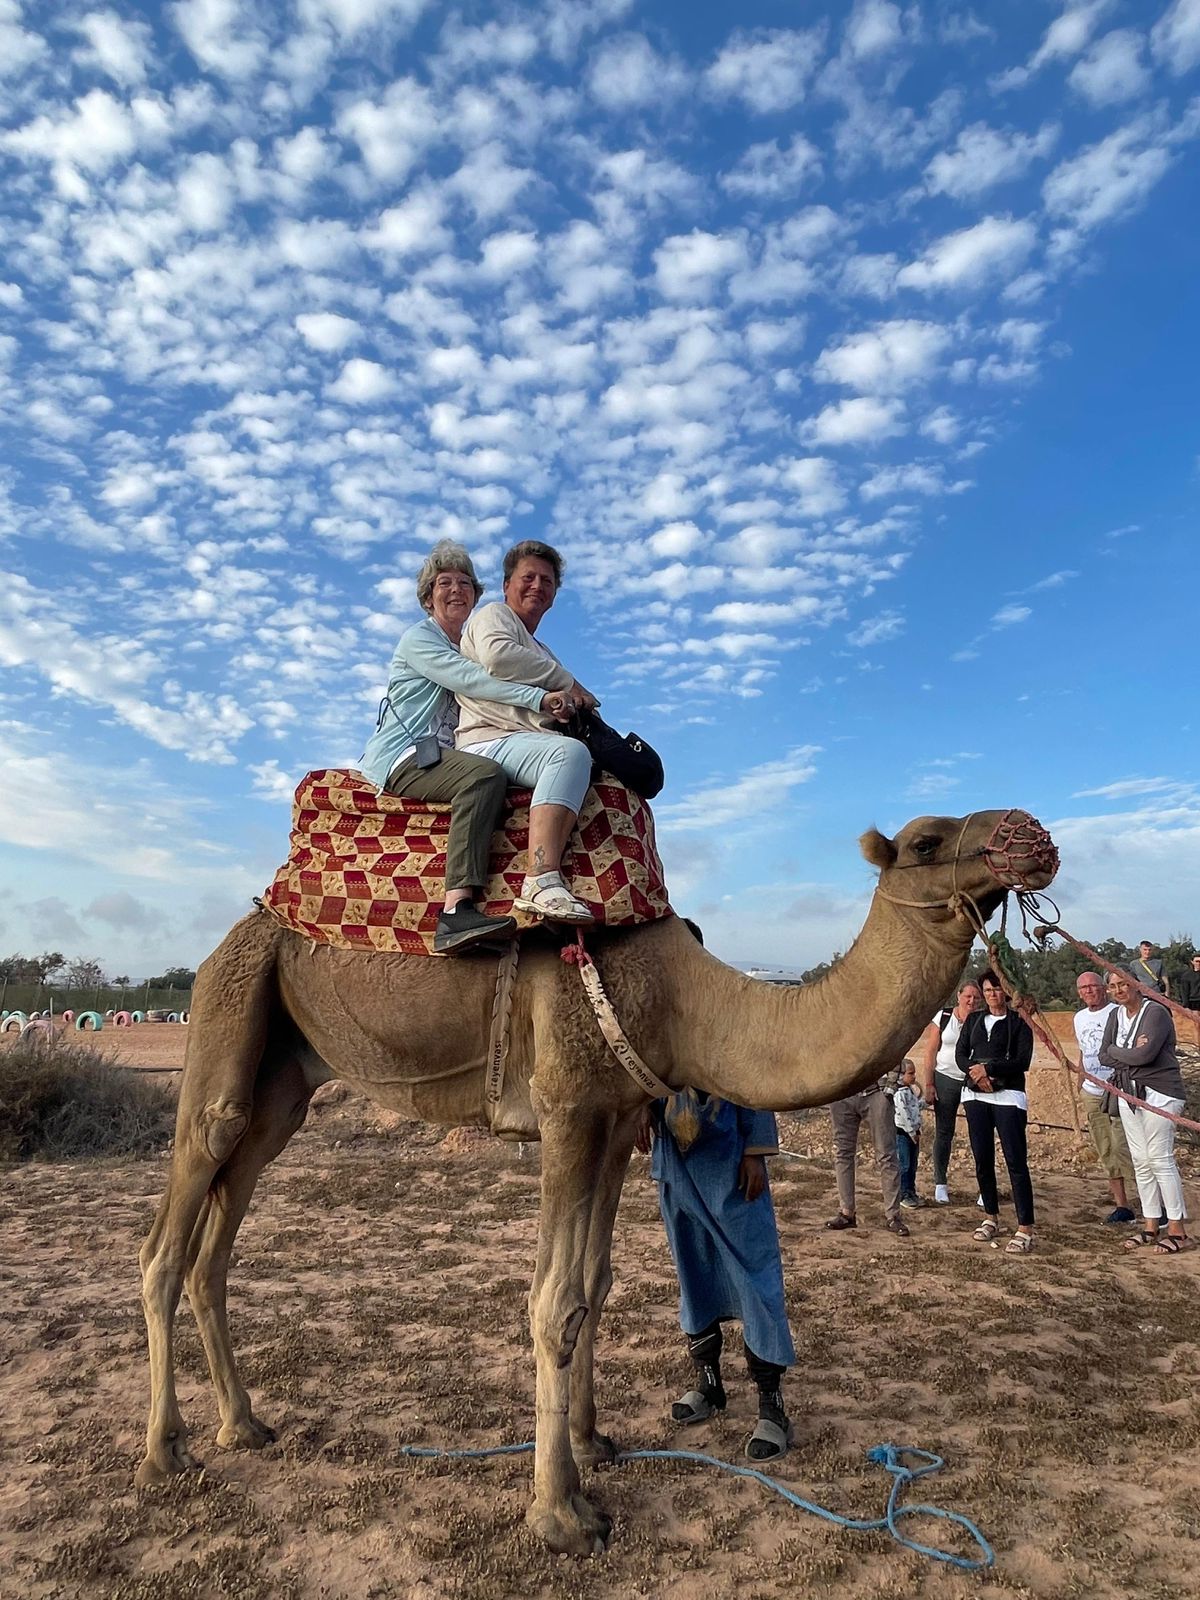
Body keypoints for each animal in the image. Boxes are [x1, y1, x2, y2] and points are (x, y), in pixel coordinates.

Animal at [136, 806, 1057, 1555]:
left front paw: (591, 1447)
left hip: (285, 1083)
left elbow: (595, 1283)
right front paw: (561, 1518)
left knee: (218, 1238)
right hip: (227, 1012)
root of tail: (238, 930)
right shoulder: (568, 1110)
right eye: (928, 842)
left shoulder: (614, 1124)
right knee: (170, 1232)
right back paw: (163, 1452)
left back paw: (244, 1425)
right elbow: (552, 1301)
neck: (684, 1001)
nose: (1034, 836)